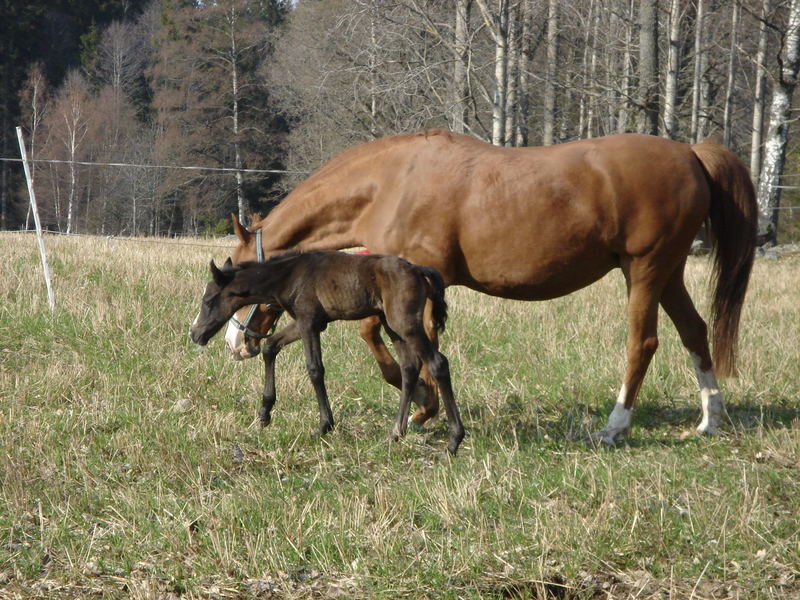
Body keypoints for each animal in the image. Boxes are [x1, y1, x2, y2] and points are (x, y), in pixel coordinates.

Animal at [222, 129, 752, 442]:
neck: (391, 183)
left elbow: (388, 341)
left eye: (239, 278)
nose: (234, 343)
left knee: (643, 343)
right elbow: (407, 345)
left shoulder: (411, 282)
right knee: (695, 331)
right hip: (668, 272)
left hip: (644, 270)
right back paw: (711, 418)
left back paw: (614, 426)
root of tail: (690, 153)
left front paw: (424, 406)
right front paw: (425, 408)